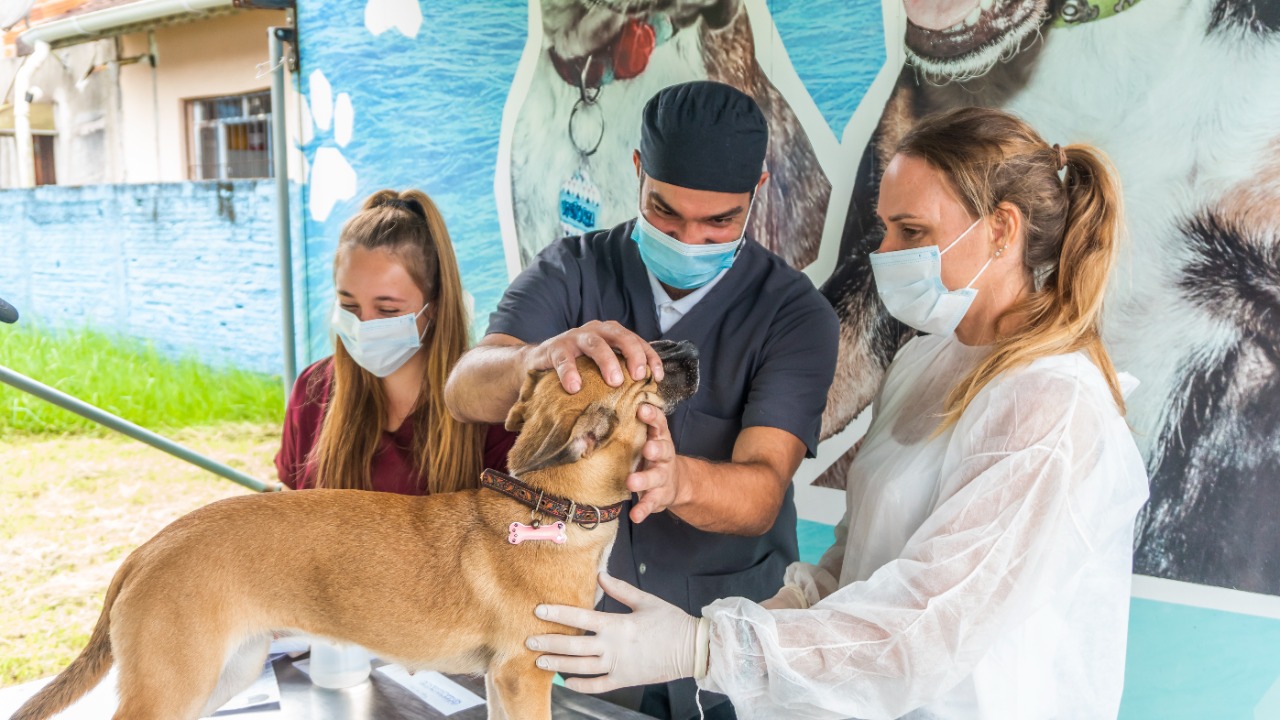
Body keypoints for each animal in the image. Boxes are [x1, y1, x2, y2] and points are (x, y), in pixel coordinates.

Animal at [10, 338, 701, 717]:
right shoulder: (525, 678)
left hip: (221, 675)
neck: (552, 508)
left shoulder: (500, 681)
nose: (692, 351)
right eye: (644, 360)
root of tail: (149, 548)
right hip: (171, 686)